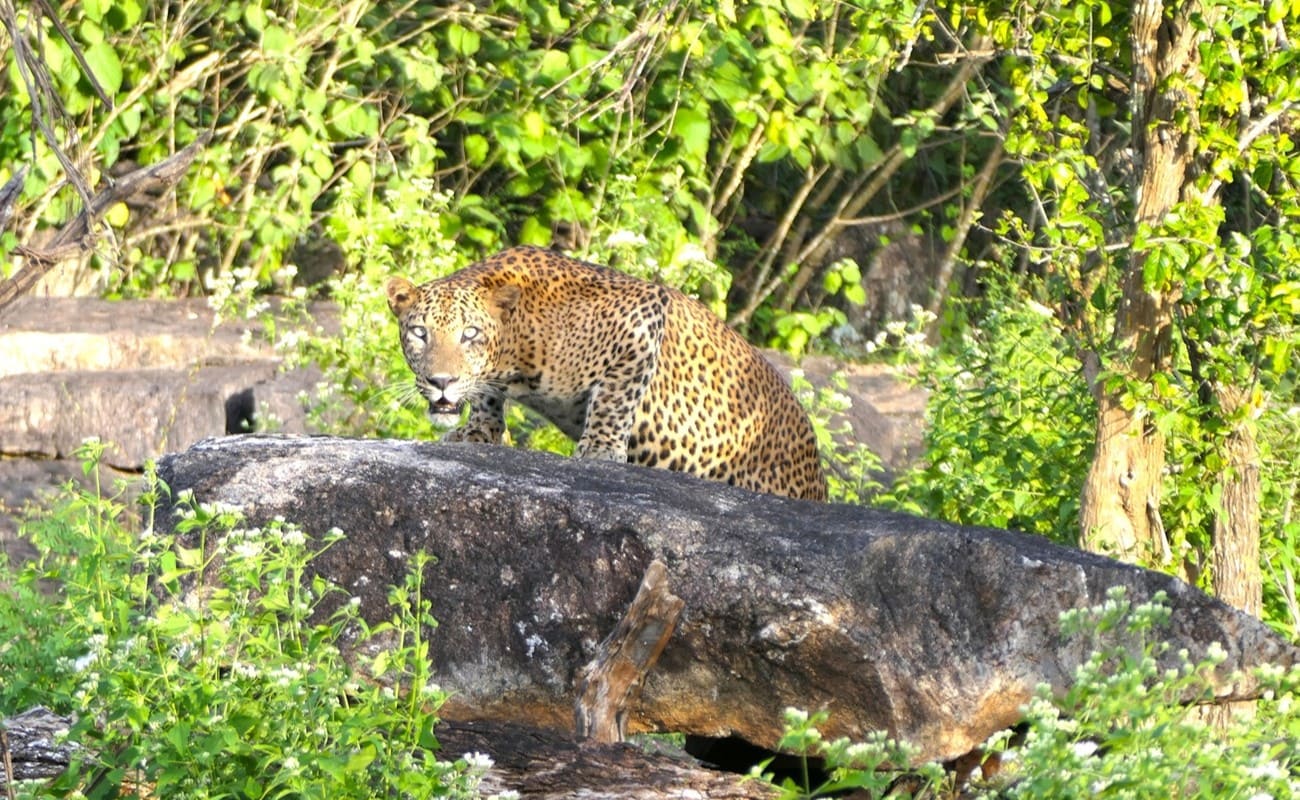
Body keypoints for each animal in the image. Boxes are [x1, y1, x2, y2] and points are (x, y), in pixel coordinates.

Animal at [385, 245, 828, 501]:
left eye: (470, 335)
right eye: (420, 333)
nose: (442, 382)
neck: (519, 334)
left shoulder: (644, 314)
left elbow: (615, 398)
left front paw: (600, 450)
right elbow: (487, 396)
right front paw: (478, 431)